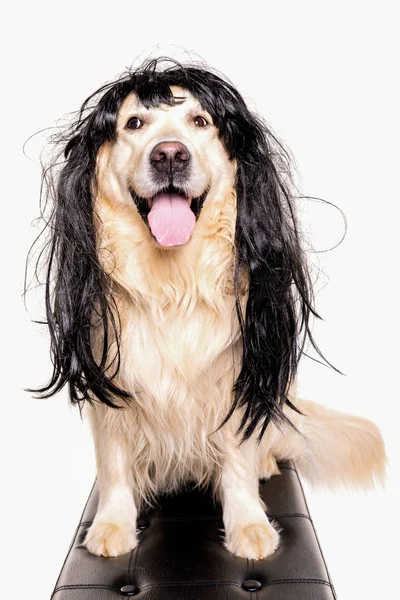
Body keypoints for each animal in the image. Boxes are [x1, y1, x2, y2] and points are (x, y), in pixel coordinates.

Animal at [29, 58, 386, 560]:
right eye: (134, 123)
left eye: (200, 121)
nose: (170, 155)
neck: (172, 282)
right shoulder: (111, 384)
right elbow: (114, 464)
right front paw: (112, 524)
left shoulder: (234, 379)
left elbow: (237, 459)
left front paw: (249, 524)